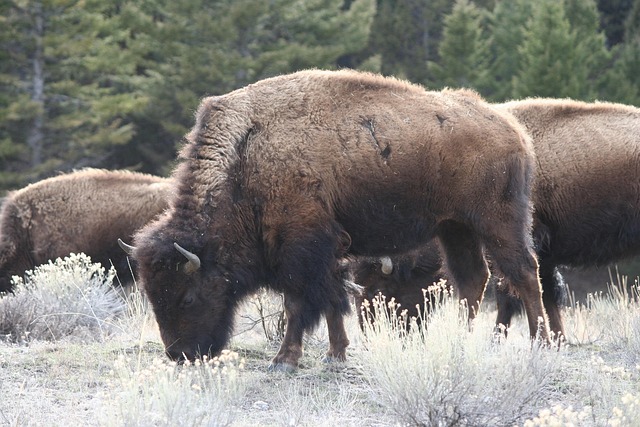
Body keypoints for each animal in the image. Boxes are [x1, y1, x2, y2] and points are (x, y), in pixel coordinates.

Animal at [127, 69, 548, 371]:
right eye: (152, 294)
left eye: (188, 295)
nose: (180, 354)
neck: (248, 157)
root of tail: (514, 131)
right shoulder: (328, 250)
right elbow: (333, 300)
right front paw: (336, 355)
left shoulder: (301, 246)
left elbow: (299, 302)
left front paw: (284, 361)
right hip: (454, 228)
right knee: (473, 279)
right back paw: (461, 340)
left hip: (498, 222)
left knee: (524, 273)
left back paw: (542, 342)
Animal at [354, 98, 640, 339]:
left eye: (379, 287)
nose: (369, 332)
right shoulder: (543, 256)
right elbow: (547, 295)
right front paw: (558, 339)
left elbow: (512, 293)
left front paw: (498, 339)